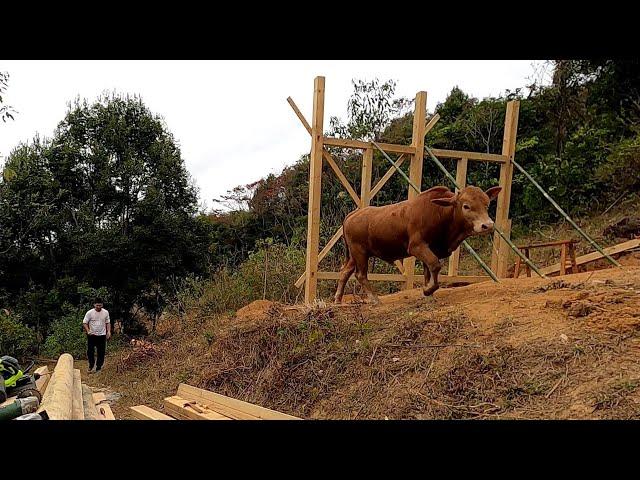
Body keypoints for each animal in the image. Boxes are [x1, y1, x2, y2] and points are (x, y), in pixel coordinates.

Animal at [332, 184, 502, 304]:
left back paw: (338, 299)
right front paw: (428, 290)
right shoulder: (416, 246)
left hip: (355, 255)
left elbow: (429, 271)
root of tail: (352, 215)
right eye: (466, 206)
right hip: (360, 252)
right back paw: (374, 299)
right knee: (360, 275)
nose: (487, 225)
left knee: (345, 272)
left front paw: (429, 294)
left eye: (487, 205)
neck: (440, 212)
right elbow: (435, 265)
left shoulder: (430, 248)